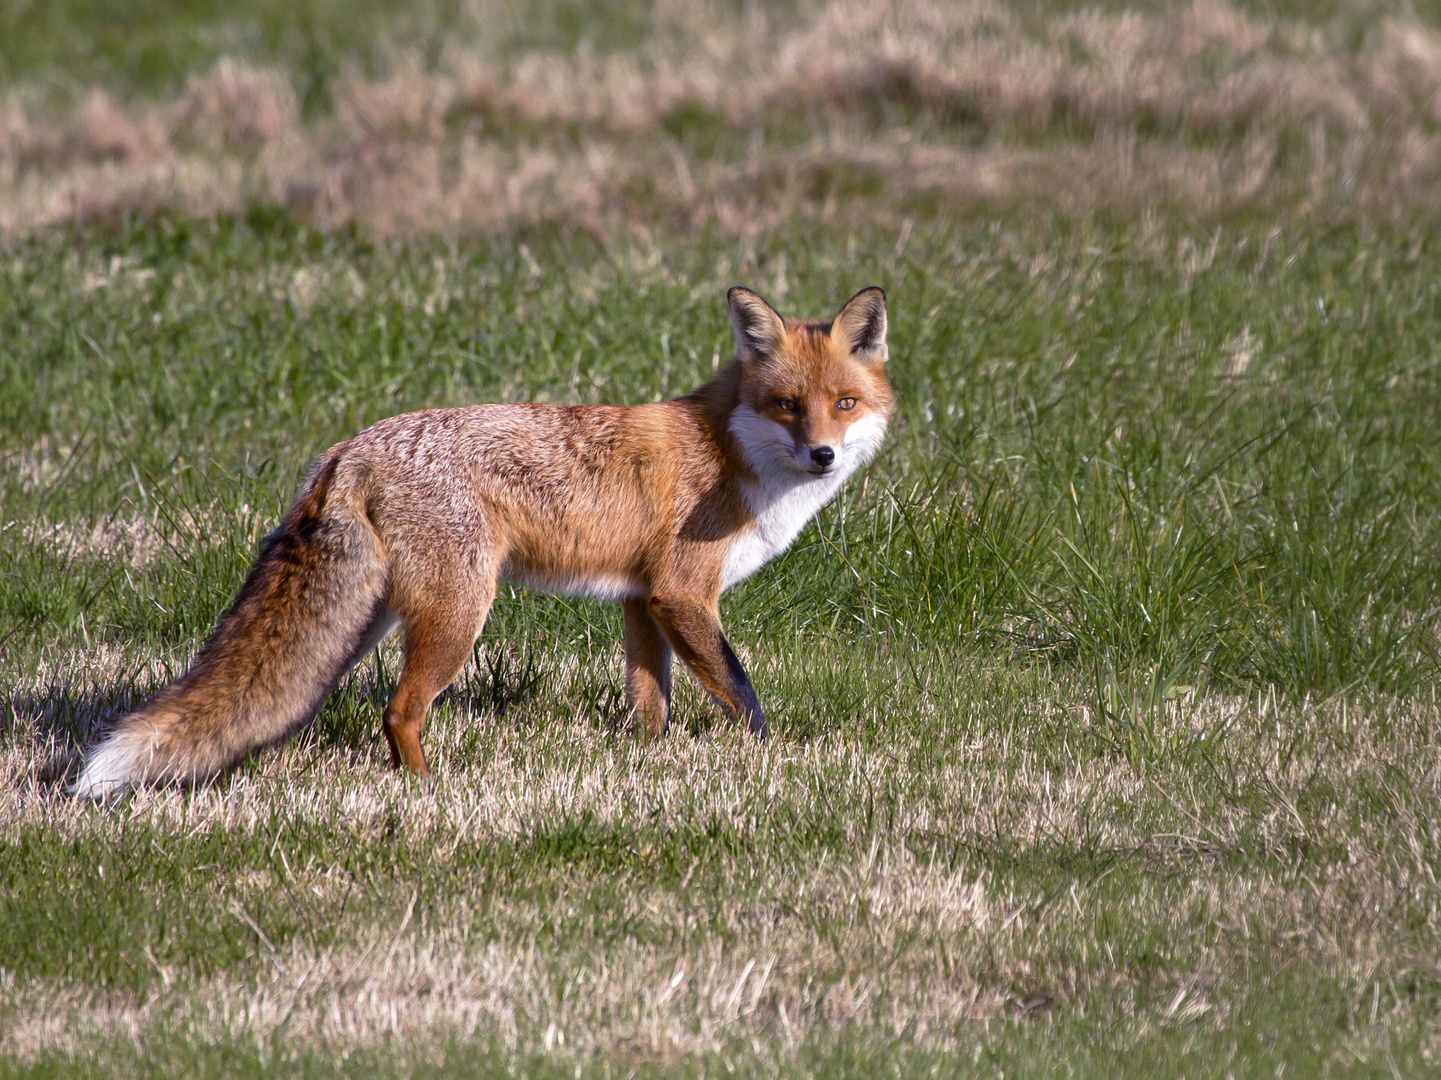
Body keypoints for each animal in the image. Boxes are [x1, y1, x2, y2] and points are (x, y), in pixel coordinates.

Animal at [67, 282, 893, 795]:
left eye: (843, 404)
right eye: (786, 405)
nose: (823, 455)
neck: (726, 451)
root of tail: (351, 447)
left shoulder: (641, 600)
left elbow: (650, 704)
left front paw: (647, 766)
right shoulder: (684, 595)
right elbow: (743, 695)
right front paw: (769, 763)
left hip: (372, 619)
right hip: (459, 614)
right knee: (399, 709)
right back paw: (426, 793)